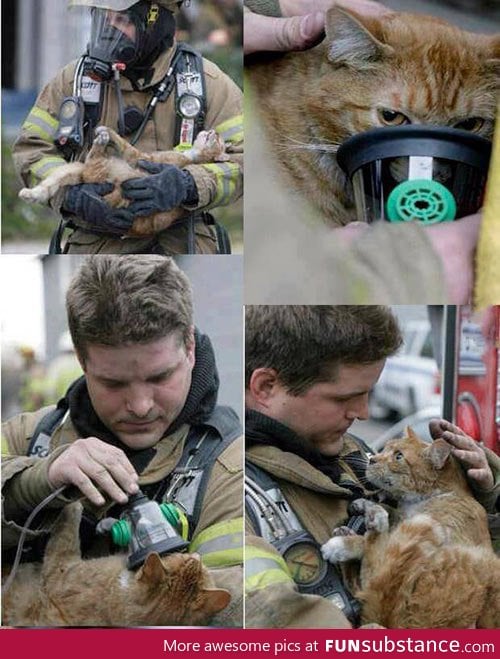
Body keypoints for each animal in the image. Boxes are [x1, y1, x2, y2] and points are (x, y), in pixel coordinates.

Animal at [18, 126, 229, 237]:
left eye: (218, 140)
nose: (215, 131)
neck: (193, 157)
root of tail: (86, 175)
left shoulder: (141, 157)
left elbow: (125, 143)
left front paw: (108, 133)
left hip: (98, 166)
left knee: (95, 155)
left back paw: (102, 138)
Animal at [320, 428, 500, 628]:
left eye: (398, 456)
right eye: (385, 448)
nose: (372, 459)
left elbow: (379, 551)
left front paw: (348, 542)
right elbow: (391, 517)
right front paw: (364, 504)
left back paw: (348, 538)